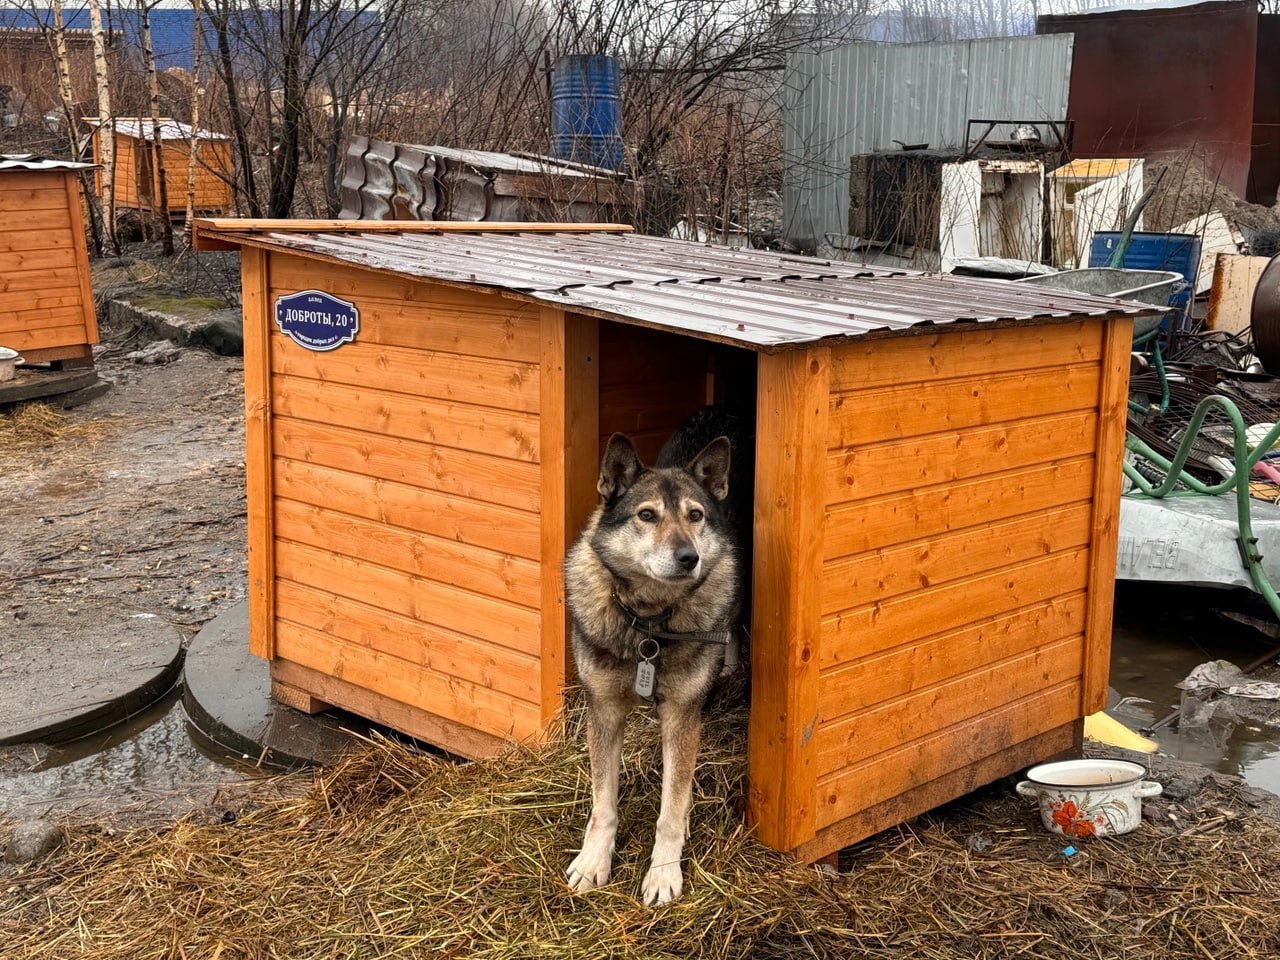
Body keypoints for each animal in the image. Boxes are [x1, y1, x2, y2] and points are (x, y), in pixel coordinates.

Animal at [565, 407, 747, 911]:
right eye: (647, 515)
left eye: (695, 516)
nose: (689, 557)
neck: (648, 624)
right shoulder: (604, 711)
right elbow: (602, 804)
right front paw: (593, 862)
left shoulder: (682, 717)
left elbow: (671, 807)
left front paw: (664, 874)